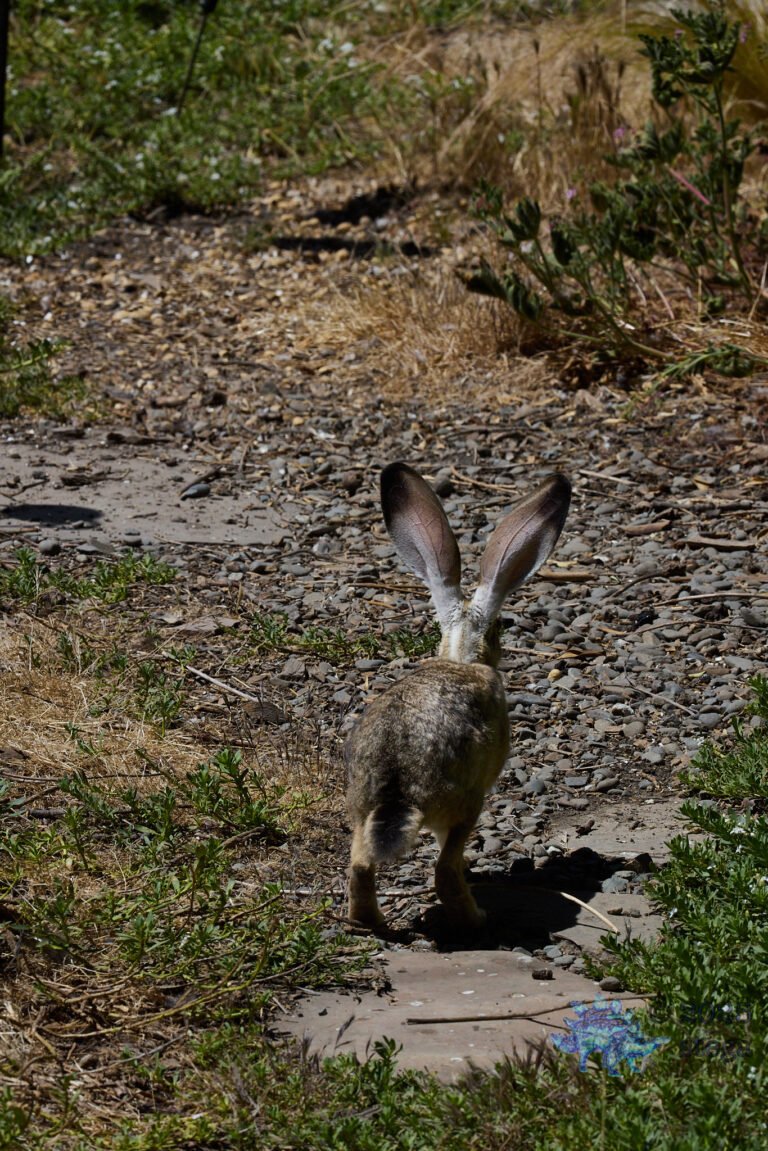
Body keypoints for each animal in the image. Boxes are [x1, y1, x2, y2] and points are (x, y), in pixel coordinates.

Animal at [345, 462, 571, 932]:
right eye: (500, 627)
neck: (461, 654)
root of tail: (398, 791)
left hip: (359, 813)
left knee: (359, 867)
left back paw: (369, 922)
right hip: (467, 802)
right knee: (444, 870)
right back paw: (478, 918)